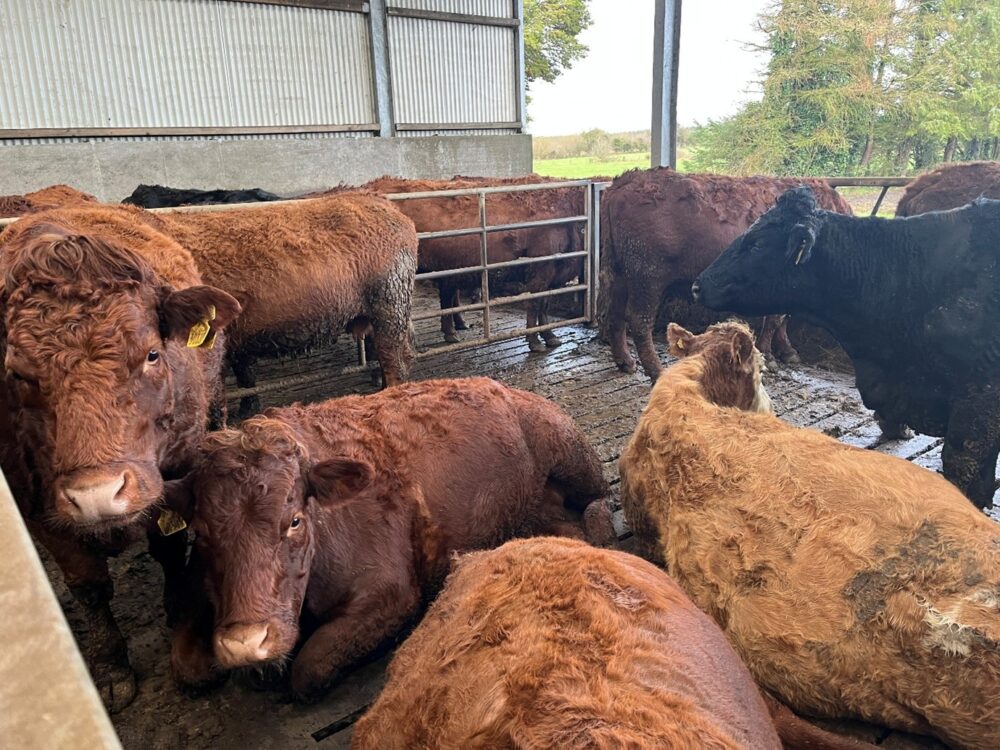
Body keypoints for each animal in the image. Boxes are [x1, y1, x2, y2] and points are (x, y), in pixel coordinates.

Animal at [0, 209, 242, 711]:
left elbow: (168, 547)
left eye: (151, 353)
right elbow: (88, 585)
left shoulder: (177, 472)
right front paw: (111, 669)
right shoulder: (34, 504)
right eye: (17, 373)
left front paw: (177, 611)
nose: (97, 495)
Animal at [167, 378, 613, 701]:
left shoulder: (391, 594)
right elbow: (187, 666)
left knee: (599, 499)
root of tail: (507, 387)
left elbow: (307, 672)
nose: (246, 642)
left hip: (569, 450)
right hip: (535, 504)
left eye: (294, 520)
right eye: (200, 533)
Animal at [363, 175, 586, 352]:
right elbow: (535, 304)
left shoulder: (555, 276)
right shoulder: (540, 271)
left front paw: (550, 336)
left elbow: (544, 305)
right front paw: (534, 340)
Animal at [601, 167, 853, 381]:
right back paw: (657, 371)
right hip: (647, 279)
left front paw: (787, 350)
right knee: (639, 322)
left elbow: (782, 317)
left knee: (615, 314)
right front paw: (769, 355)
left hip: (622, 276)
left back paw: (625, 361)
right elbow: (775, 319)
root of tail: (627, 179)